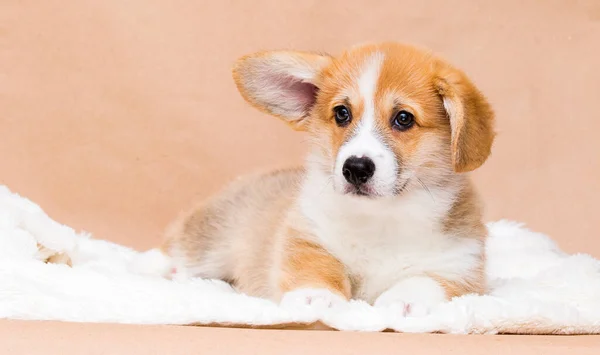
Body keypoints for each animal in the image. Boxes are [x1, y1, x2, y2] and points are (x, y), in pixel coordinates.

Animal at [159, 41, 492, 318]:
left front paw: (403, 302)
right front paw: (315, 297)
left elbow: (427, 280)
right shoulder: (305, 235)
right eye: (342, 113)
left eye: (404, 118)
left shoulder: (461, 266)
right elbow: (316, 265)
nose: (355, 168)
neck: (381, 217)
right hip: (213, 240)